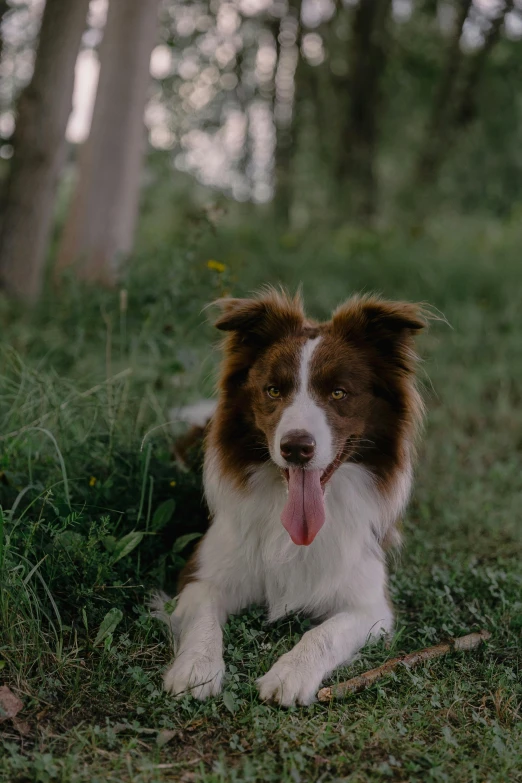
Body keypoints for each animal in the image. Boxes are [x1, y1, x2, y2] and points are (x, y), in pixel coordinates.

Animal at [152, 290, 424, 708]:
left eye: (339, 392)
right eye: (274, 390)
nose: (296, 447)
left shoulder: (371, 604)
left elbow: (324, 633)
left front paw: (290, 675)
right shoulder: (201, 576)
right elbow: (204, 620)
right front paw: (196, 668)